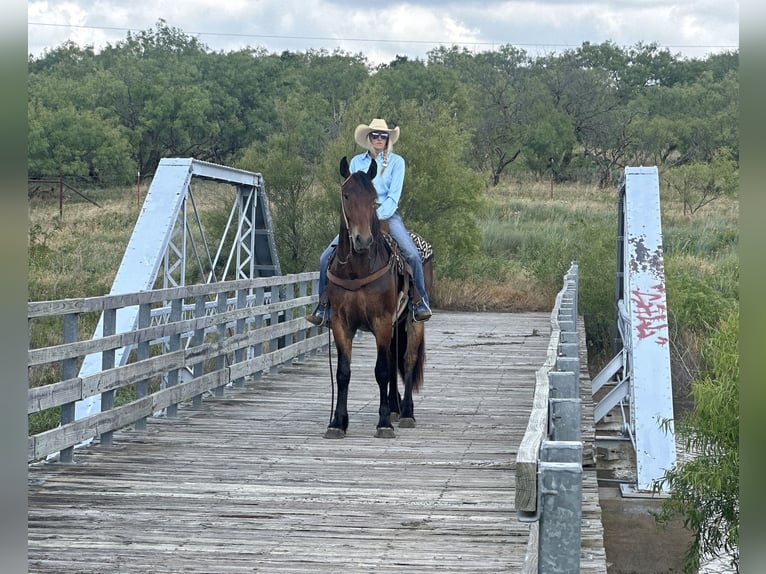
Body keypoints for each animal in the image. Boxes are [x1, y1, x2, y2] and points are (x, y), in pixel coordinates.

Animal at [324, 158, 432, 440]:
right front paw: (337, 422)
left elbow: (381, 371)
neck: (358, 270)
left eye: (373, 198)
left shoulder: (381, 321)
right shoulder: (341, 323)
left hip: (413, 322)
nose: (362, 240)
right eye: (346, 195)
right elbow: (343, 373)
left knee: (406, 361)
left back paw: (405, 413)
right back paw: (394, 407)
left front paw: (383, 423)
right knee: (394, 361)